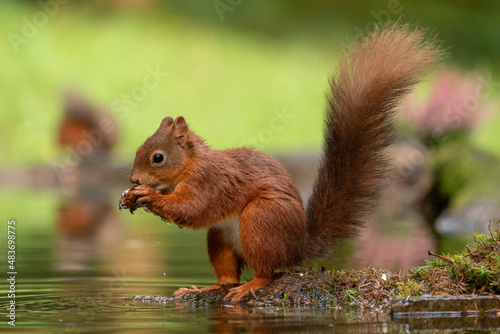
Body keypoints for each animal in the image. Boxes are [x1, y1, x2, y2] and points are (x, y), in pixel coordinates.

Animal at [120, 22, 442, 302]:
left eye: (158, 158)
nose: (134, 180)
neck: (191, 164)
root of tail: (298, 246)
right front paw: (130, 197)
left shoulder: (210, 181)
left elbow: (191, 208)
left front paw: (147, 195)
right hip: (220, 237)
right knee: (228, 276)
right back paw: (202, 288)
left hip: (262, 219)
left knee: (267, 272)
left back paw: (250, 285)